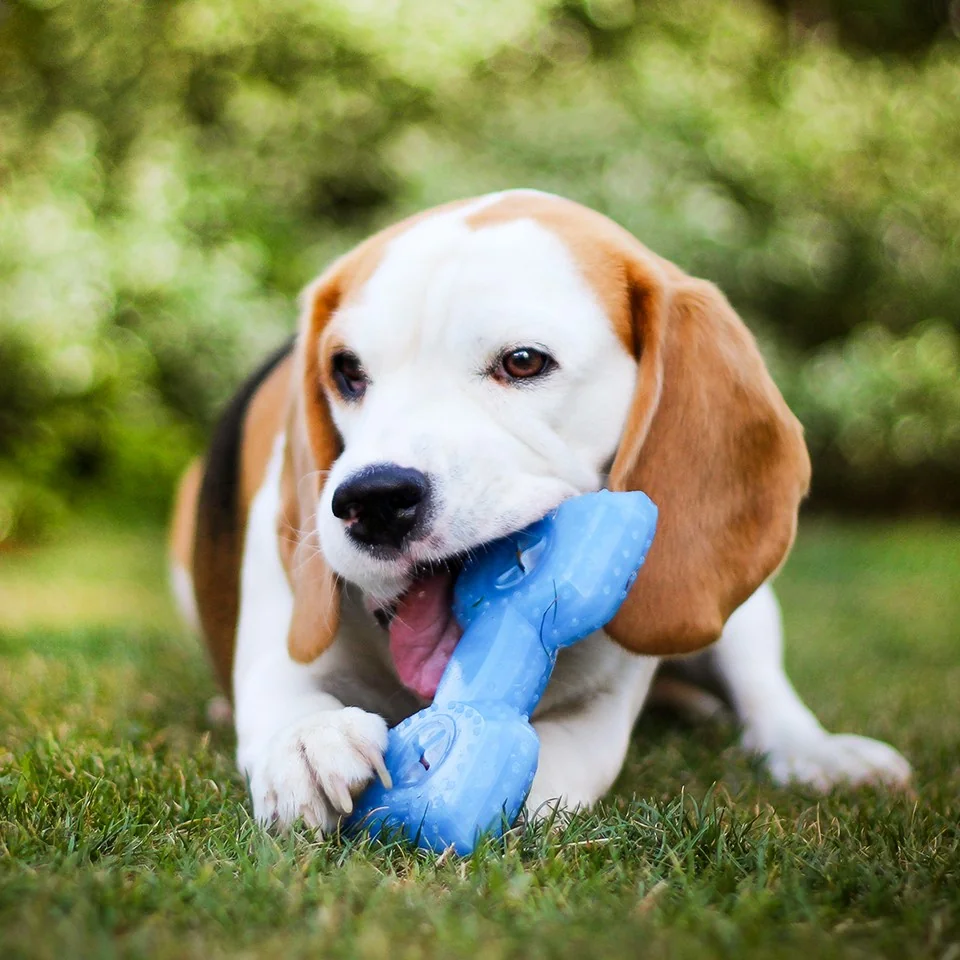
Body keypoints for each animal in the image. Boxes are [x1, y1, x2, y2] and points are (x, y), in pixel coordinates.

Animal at [169, 189, 912, 832]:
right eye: (346, 371)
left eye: (523, 361)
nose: (372, 500)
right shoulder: (281, 646)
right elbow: (284, 698)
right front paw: (307, 741)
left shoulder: (601, 713)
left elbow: (554, 762)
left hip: (745, 612)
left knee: (765, 694)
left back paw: (818, 752)